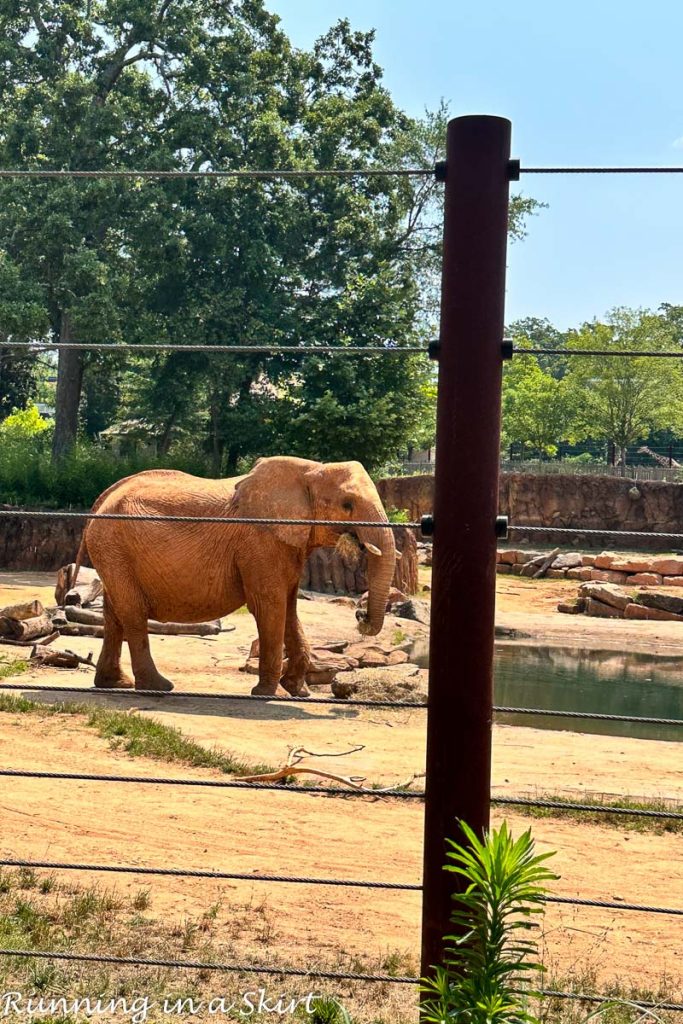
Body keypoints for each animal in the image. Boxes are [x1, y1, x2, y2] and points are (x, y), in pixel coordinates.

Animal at [75, 456, 397, 696]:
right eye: (347, 505)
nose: (360, 616)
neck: (311, 469)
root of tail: (99, 502)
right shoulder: (260, 542)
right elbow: (270, 605)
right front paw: (268, 695)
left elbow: (290, 606)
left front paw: (298, 691)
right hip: (113, 546)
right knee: (133, 612)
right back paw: (159, 687)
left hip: (111, 553)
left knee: (114, 612)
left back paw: (115, 684)